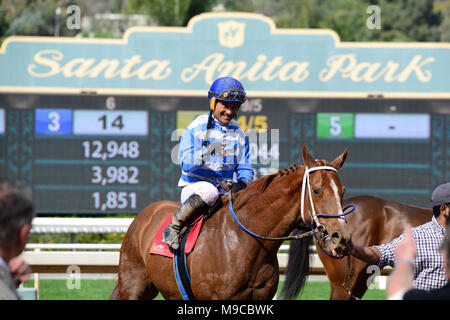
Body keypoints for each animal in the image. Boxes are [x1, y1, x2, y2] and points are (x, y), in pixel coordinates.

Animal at [111, 146, 352, 300]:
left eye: (342, 190)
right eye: (317, 190)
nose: (341, 237)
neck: (245, 242)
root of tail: (144, 216)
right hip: (133, 287)